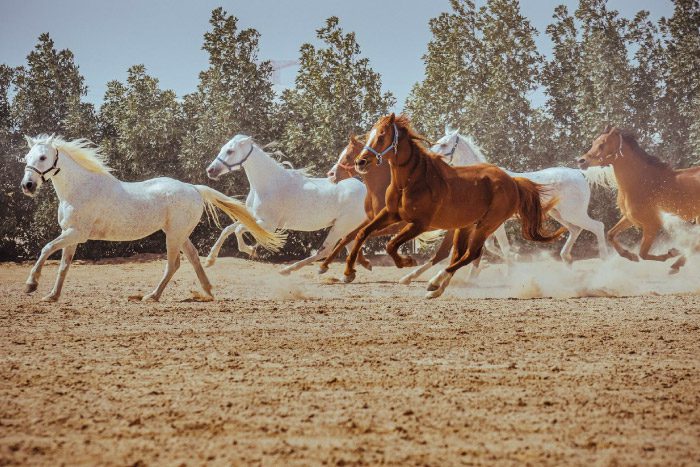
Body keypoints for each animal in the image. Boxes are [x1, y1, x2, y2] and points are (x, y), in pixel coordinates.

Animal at [21, 135, 284, 304]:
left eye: (43, 157)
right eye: (27, 156)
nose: (27, 185)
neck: (80, 188)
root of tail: (194, 188)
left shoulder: (76, 233)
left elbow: (46, 249)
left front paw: (31, 285)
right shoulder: (71, 235)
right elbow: (63, 266)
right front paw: (52, 295)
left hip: (174, 235)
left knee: (174, 264)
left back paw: (152, 296)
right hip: (179, 233)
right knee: (193, 258)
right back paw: (207, 291)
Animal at [205, 135, 372, 274]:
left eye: (230, 151)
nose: (210, 170)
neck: (268, 184)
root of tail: (365, 189)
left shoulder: (268, 225)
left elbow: (238, 230)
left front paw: (251, 250)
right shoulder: (253, 217)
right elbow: (227, 229)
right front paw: (210, 260)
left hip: (341, 226)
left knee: (324, 251)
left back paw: (287, 270)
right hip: (347, 228)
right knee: (350, 248)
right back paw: (358, 270)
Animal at [348, 116, 568, 300]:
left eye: (382, 136)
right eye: (370, 135)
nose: (361, 162)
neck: (412, 180)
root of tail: (512, 182)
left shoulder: (419, 224)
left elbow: (391, 244)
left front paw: (407, 262)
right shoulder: (391, 214)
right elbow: (362, 233)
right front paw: (349, 272)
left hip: (486, 225)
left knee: (471, 254)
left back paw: (435, 281)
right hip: (466, 226)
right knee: (460, 255)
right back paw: (436, 288)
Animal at [400, 130, 608, 286]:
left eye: (444, 145)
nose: (429, 158)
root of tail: (580, 174)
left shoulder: (497, 225)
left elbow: (501, 248)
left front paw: (510, 270)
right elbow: (484, 249)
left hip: (573, 213)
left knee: (598, 227)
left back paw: (605, 262)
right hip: (560, 214)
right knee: (576, 230)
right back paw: (567, 261)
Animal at [576, 127, 696, 274]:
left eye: (602, 144)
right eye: (593, 142)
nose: (581, 161)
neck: (641, 183)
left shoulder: (652, 225)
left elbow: (643, 254)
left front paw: (671, 253)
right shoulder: (629, 218)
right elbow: (610, 234)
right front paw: (629, 255)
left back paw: (676, 263)